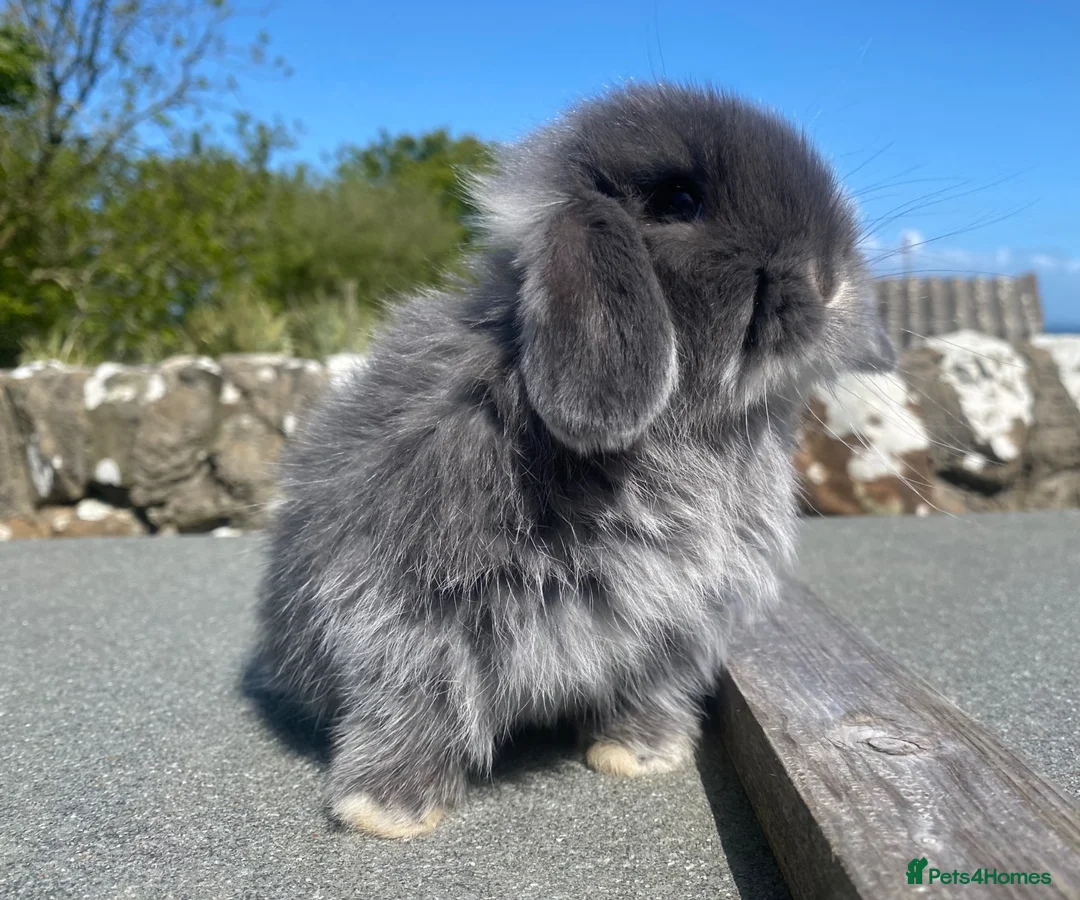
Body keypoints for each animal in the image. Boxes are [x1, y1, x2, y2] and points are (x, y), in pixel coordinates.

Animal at [248, 82, 894, 839]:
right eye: (679, 202)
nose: (829, 281)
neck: (687, 434)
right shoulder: (405, 611)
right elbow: (414, 704)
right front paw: (387, 810)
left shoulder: (676, 628)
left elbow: (649, 693)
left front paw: (641, 756)